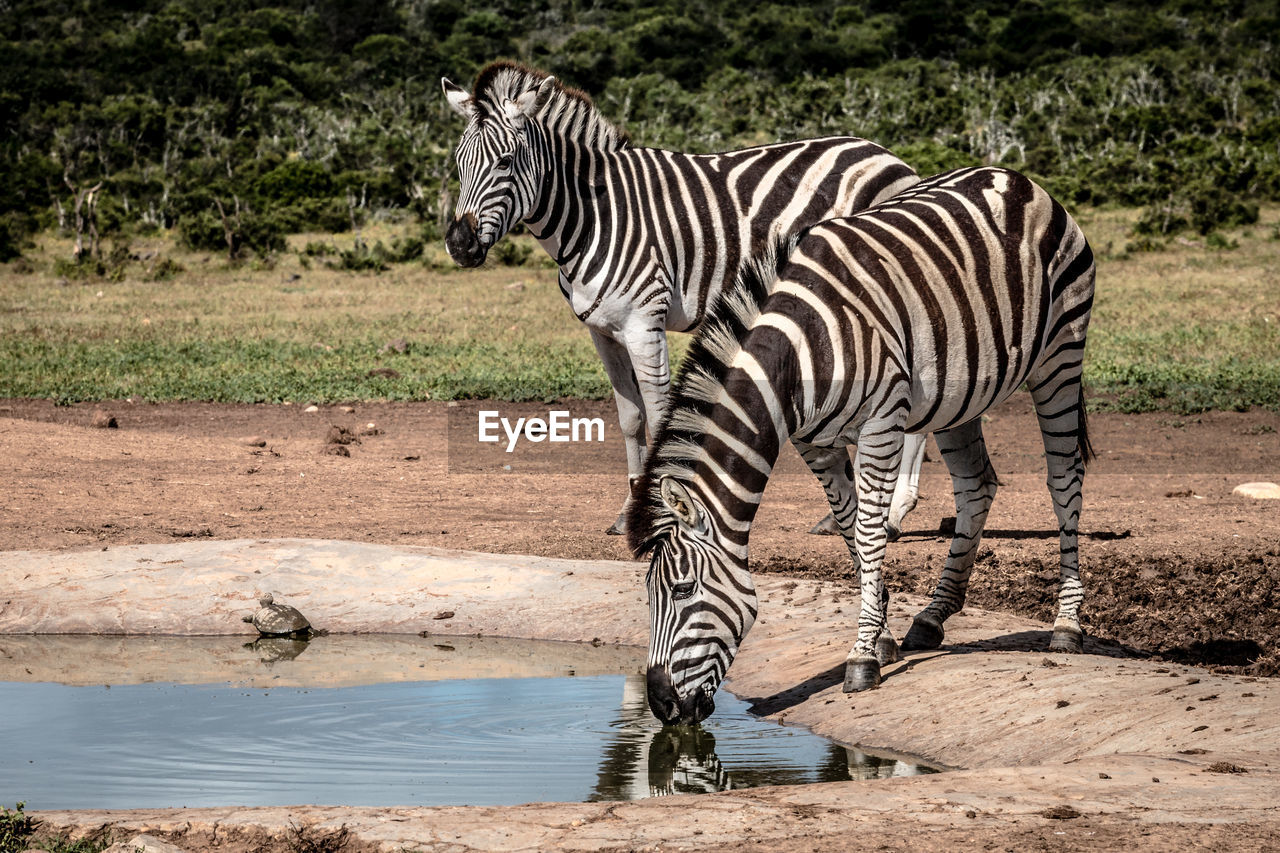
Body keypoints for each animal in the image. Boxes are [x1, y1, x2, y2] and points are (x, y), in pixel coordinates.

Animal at [435, 63, 926, 535]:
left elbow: (657, 414)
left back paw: (893, 514)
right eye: (458, 162)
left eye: (505, 161)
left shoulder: (643, 323)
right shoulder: (602, 331)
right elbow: (630, 418)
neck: (592, 216)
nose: (459, 245)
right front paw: (626, 509)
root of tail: (891, 158)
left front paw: (655, 506)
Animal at [624, 162, 1095, 722]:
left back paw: (1067, 625)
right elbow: (849, 525)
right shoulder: (814, 443)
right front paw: (884, 635)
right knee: (976, 487)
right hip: (960, 390)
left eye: (681, 589)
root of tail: (1011, 177)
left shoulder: (881, 422)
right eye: (648, 595)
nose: (661, 707)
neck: (799, 353)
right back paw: (933, 616)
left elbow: (870, 532)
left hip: (1060, 357)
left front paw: (862, 658)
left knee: (1064, 479)